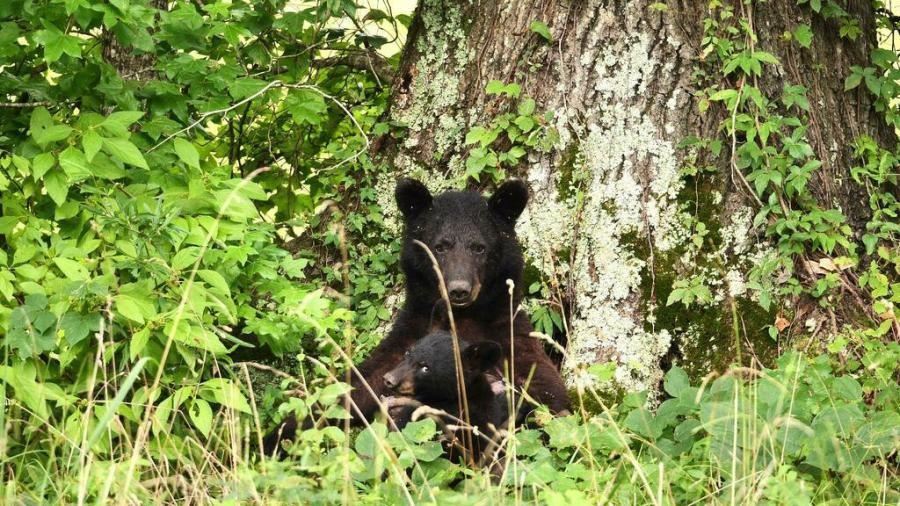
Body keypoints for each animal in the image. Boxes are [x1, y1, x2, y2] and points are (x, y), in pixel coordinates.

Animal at [263, 178, 569, 456]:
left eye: (479, 247)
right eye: (440, 246)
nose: (459, 289)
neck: (462, 316)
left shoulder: (510, 336)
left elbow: (547, 397)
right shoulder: (408, 336)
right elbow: (350, 389)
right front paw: (278, 436)